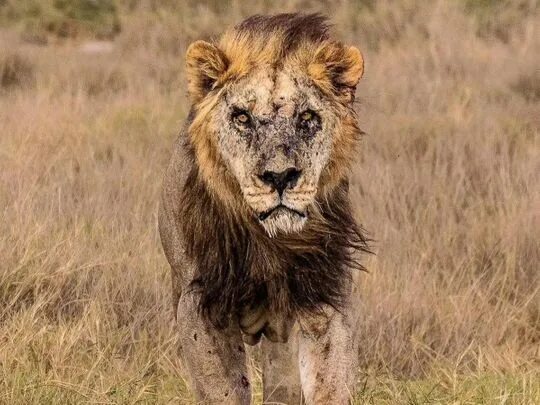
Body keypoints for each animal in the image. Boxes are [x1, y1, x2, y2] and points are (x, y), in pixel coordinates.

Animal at [159, 13, 372, 404]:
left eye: (307, 118)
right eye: (242, 117)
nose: (280, 176)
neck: (272, 243)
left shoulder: (326, 298)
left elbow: (331, 382)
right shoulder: (200, 303)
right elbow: (225, 391)